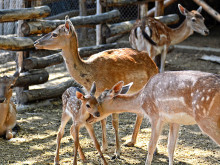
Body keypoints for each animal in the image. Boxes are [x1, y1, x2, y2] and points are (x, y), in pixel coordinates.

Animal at [34, 15, 158, 159]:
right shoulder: (95, 95)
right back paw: (131, 142)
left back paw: (152, 149)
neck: (91, 75)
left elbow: (114, 121)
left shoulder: (112, 90)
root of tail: (152, 62)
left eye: (54, 34)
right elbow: (102, 120)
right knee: (140, 111)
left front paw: (117, 152)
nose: (35, 42)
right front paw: (104, 148)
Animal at [88, 70, 220, 164]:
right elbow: (170, 147)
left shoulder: (155, 116)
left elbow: (151, 146)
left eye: (98, 101)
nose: (89, 118)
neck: (141, 101)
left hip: (207, 119)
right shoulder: (174, 120)